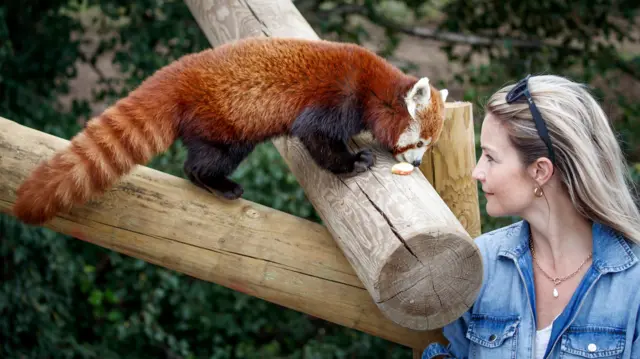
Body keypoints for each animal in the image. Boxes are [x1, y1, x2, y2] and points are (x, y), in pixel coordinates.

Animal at [12, 38, 448, 226]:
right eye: (419, 142)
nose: (418, 163)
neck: (374, 88)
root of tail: (180, 72)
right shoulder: (337, 97)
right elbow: (317, 137)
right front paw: (353, 162)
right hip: (226, 123)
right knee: (207, 159)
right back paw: (218, 184)